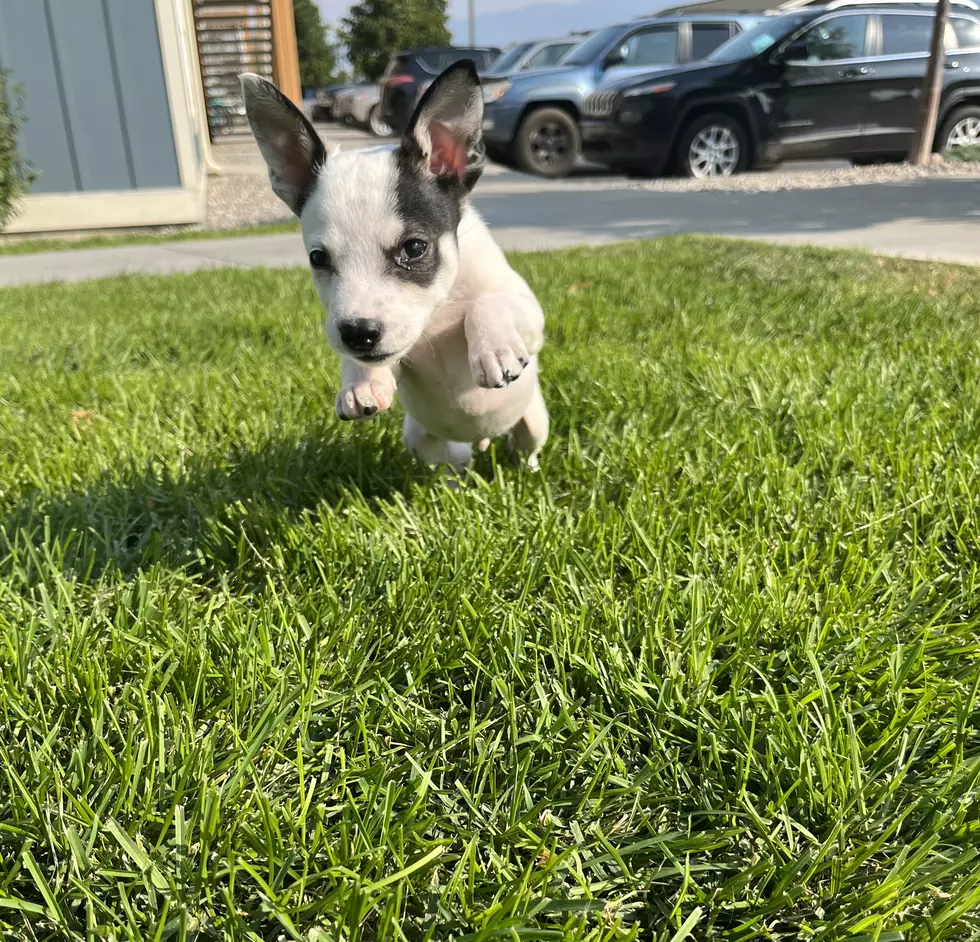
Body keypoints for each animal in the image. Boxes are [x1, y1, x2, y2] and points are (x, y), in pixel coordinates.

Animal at [236, 60, 544, 472]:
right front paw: (362, 381)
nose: (357, 333)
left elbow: (488, 302)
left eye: (414, 248)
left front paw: (496, 349)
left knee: (526, 446)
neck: (439, 312)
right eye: (318, 259)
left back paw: (527, 467)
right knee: (448, 460)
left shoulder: (530, 311)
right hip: (421, 439)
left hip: (534, 422)